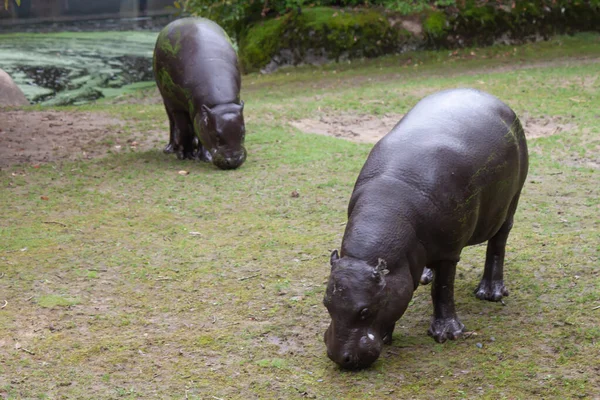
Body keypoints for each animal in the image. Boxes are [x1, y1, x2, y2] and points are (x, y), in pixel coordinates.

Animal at [155, 17, 248, 169]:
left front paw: (204, 158)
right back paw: (171, 149)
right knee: (173, 123)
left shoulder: (202, 111)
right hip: (167, 100)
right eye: (216, 135)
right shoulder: (181, 108)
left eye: (243, 132)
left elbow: (199, 129)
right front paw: (184, 156)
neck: (220, 104)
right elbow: (185, 128)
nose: (234, 161)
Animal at [324, 88, 528, 368]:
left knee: (498, 244)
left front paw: (447, 334)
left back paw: (490, 293)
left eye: (365, 311)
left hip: (511, 202)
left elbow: (442, 289)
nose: (338, 356)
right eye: (326, 303)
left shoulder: (449, 252)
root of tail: (492, 98)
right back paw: (424, 276)